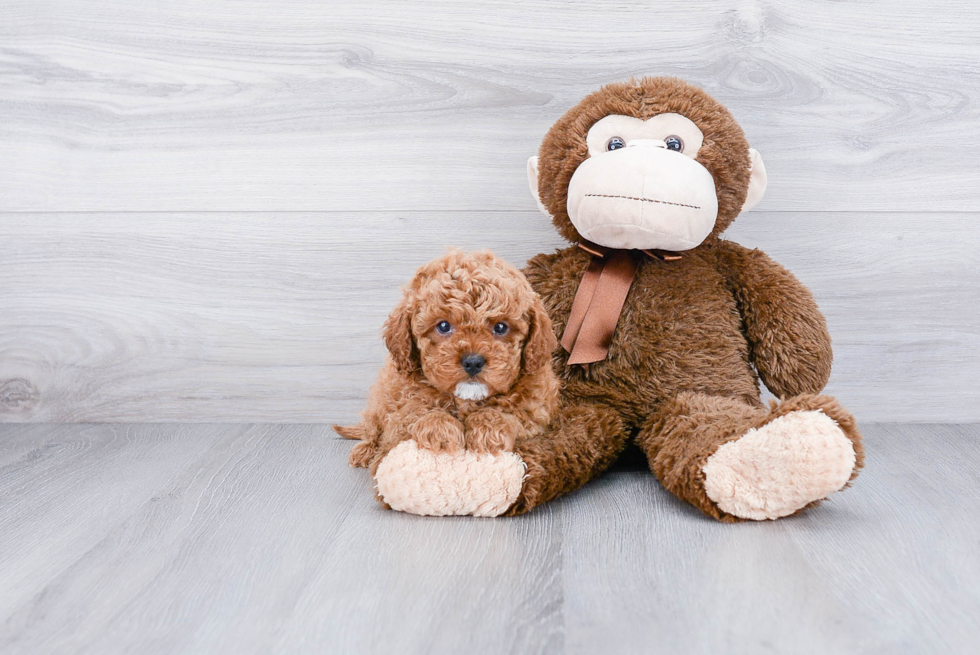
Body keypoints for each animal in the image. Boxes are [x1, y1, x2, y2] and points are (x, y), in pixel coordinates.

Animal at [334, 249, 560, 480]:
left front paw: (488, 427)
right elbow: (415, 411)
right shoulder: (397, 410)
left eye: (500, 327)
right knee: (371, 429)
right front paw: (438, 427)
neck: (466, 400)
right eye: (443, 326)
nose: (473, 361)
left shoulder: (537, 411)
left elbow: (514, 414)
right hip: (377, 403)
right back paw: (364, 451)